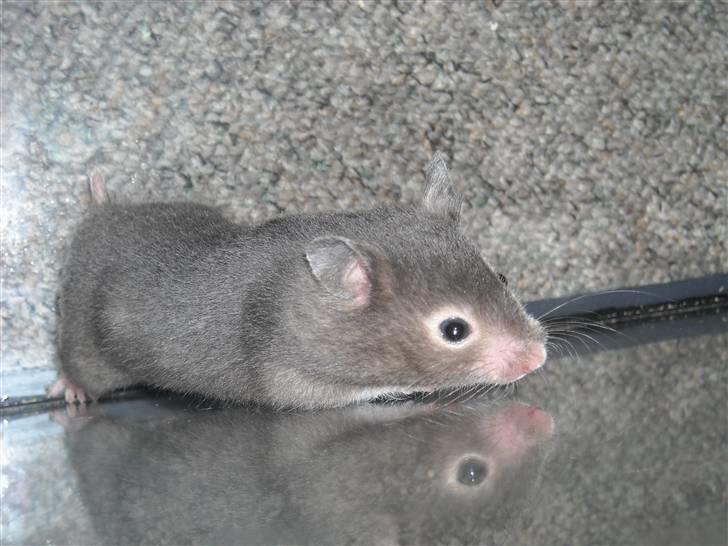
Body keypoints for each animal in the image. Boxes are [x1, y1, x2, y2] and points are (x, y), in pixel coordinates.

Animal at [50, 153, 547, 409]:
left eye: (503, 276)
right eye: (454, 330)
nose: (539, 357)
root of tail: (102, 214)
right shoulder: (292, 378)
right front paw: (416, 386)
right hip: (85, 342)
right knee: (76, 365)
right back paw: (68, 391)